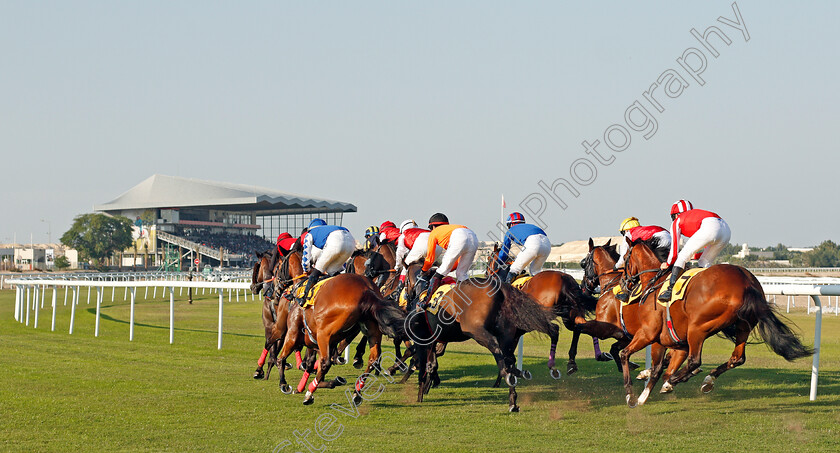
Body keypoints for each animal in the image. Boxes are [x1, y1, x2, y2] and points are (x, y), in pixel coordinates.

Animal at [266, 274, 404, 404]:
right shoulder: (321, 344)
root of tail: (367, 291)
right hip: (371, 332)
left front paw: (283, 383)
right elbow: (314, 366)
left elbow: (280, 356)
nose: (273, 293)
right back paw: (356, 393)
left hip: (322, 334)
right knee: (373, 360)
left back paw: (309, 394)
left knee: (325, 362)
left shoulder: (293, 334)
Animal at [406, 274, 556, 412]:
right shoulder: (438, 339)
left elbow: (425, 364)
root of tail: (500, 287)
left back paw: (509, 375)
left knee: (496, 348)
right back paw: (513, 396)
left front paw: (421, 392)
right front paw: (429, 384)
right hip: (506, 333)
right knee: (508, 357)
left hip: (475, 330)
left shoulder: (422, 339)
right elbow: (432, 363)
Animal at [482, 244, 600, 374]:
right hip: (570, 316)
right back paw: (574, 362)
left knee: (555, 330)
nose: (486, 274)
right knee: (580, 326)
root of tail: (564, 279)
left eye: (489, 259)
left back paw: (553, 364)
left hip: (542, 318)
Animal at [616, 240, 812, 406]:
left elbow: (628, 356)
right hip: (743, 326)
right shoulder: (675, 342)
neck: (655, 283)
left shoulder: (650, 334)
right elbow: (660, 367)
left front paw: (634, 396)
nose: (623, 282)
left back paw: (674, 382)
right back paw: (706, 380)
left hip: (697, 328)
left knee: (695, 361)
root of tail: (746, 283)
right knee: (737, 358)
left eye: (625, 258)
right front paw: (645, 385)